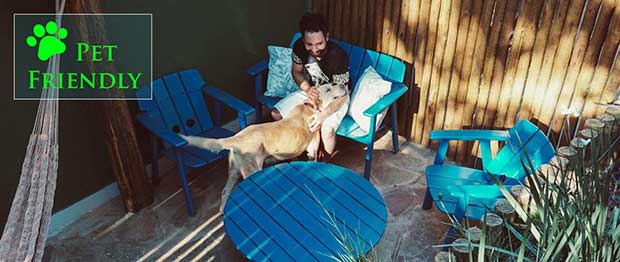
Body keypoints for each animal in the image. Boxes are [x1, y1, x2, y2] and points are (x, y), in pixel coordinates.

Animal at [178, 84, 348, 211]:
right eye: (328, 89)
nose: (343, 84)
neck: (310, 105)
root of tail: (236, 138)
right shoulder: (312, 150)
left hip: (233, 171)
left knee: (225, 191)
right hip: (252, 170)